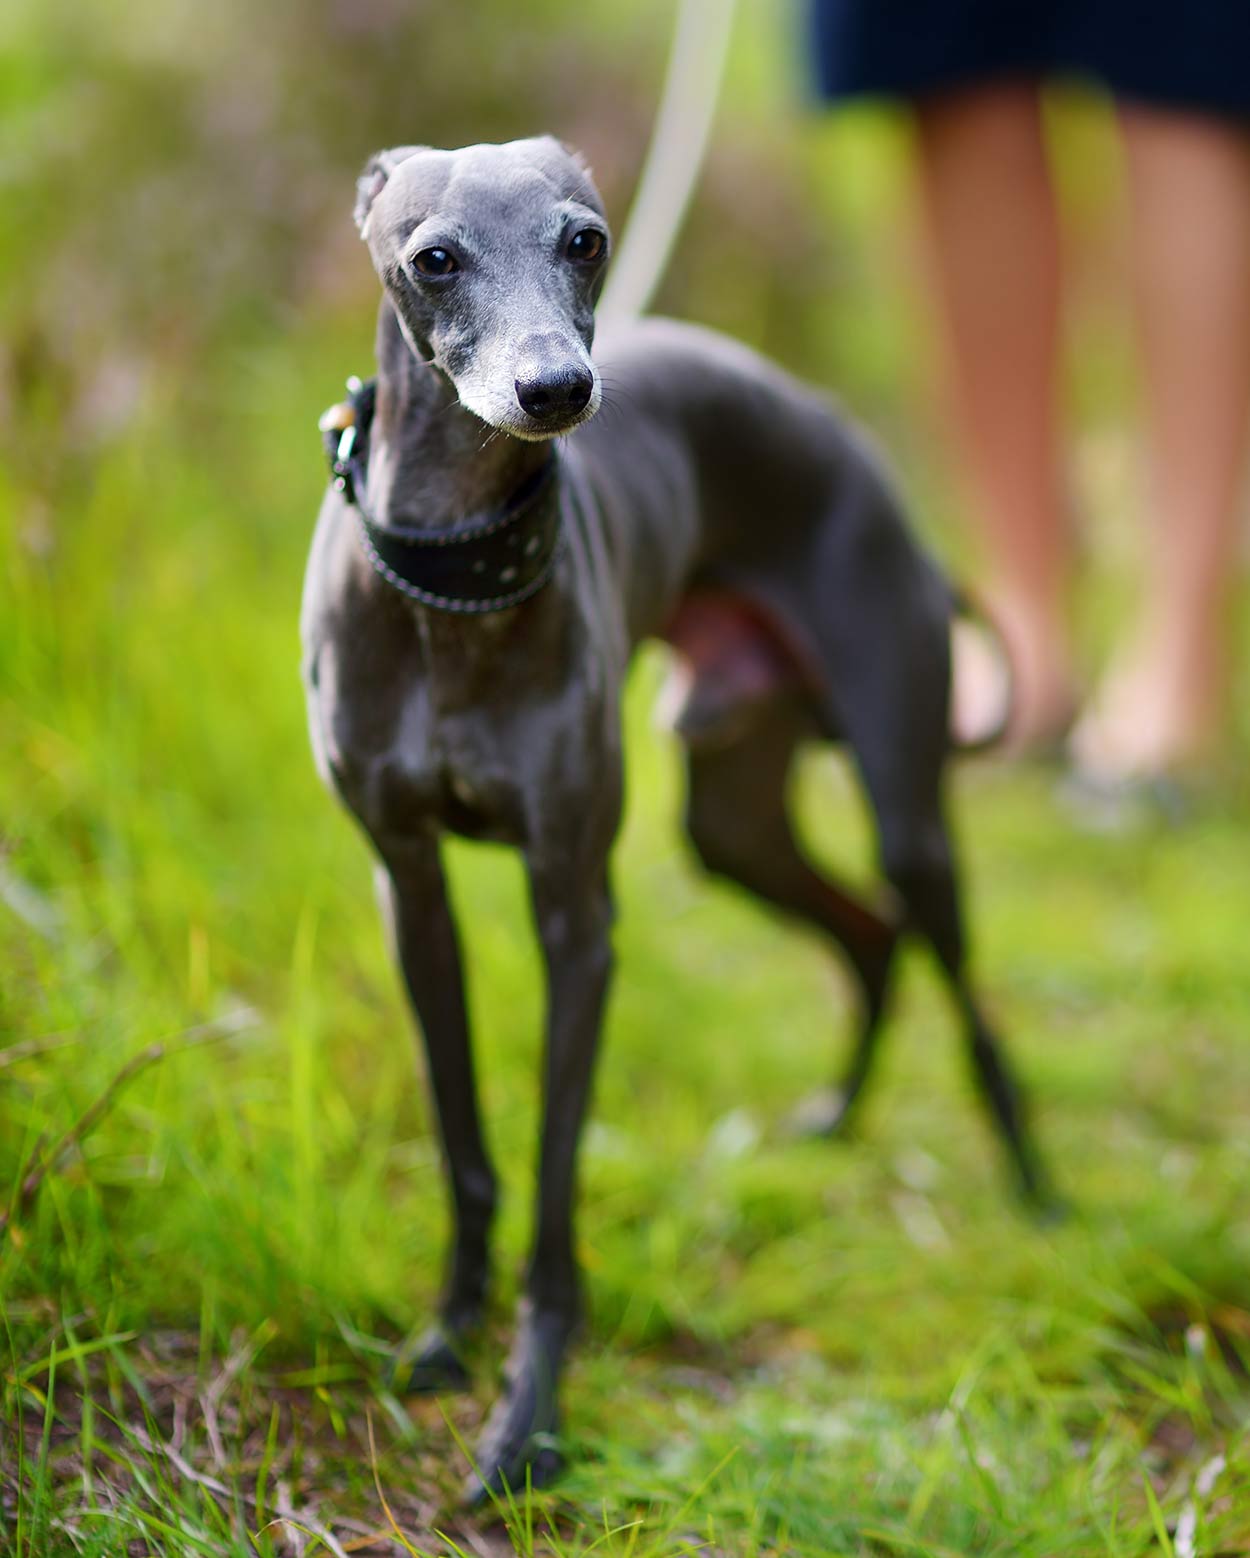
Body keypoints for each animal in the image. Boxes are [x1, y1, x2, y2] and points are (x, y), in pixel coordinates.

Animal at [297, 140, 1047, 1501]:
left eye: (585, 240)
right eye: (433, 258)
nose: (555, 389)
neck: (449, 582)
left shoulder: (575, 915)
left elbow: (552, 1185)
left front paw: (527, 1415)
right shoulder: (407, 889)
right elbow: (466, 1145)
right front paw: (445, 1333)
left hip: (904, 802)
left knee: (956, 989)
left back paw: (1036, 1192)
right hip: (731, 820)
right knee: (864, 935)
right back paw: (833, 1119)